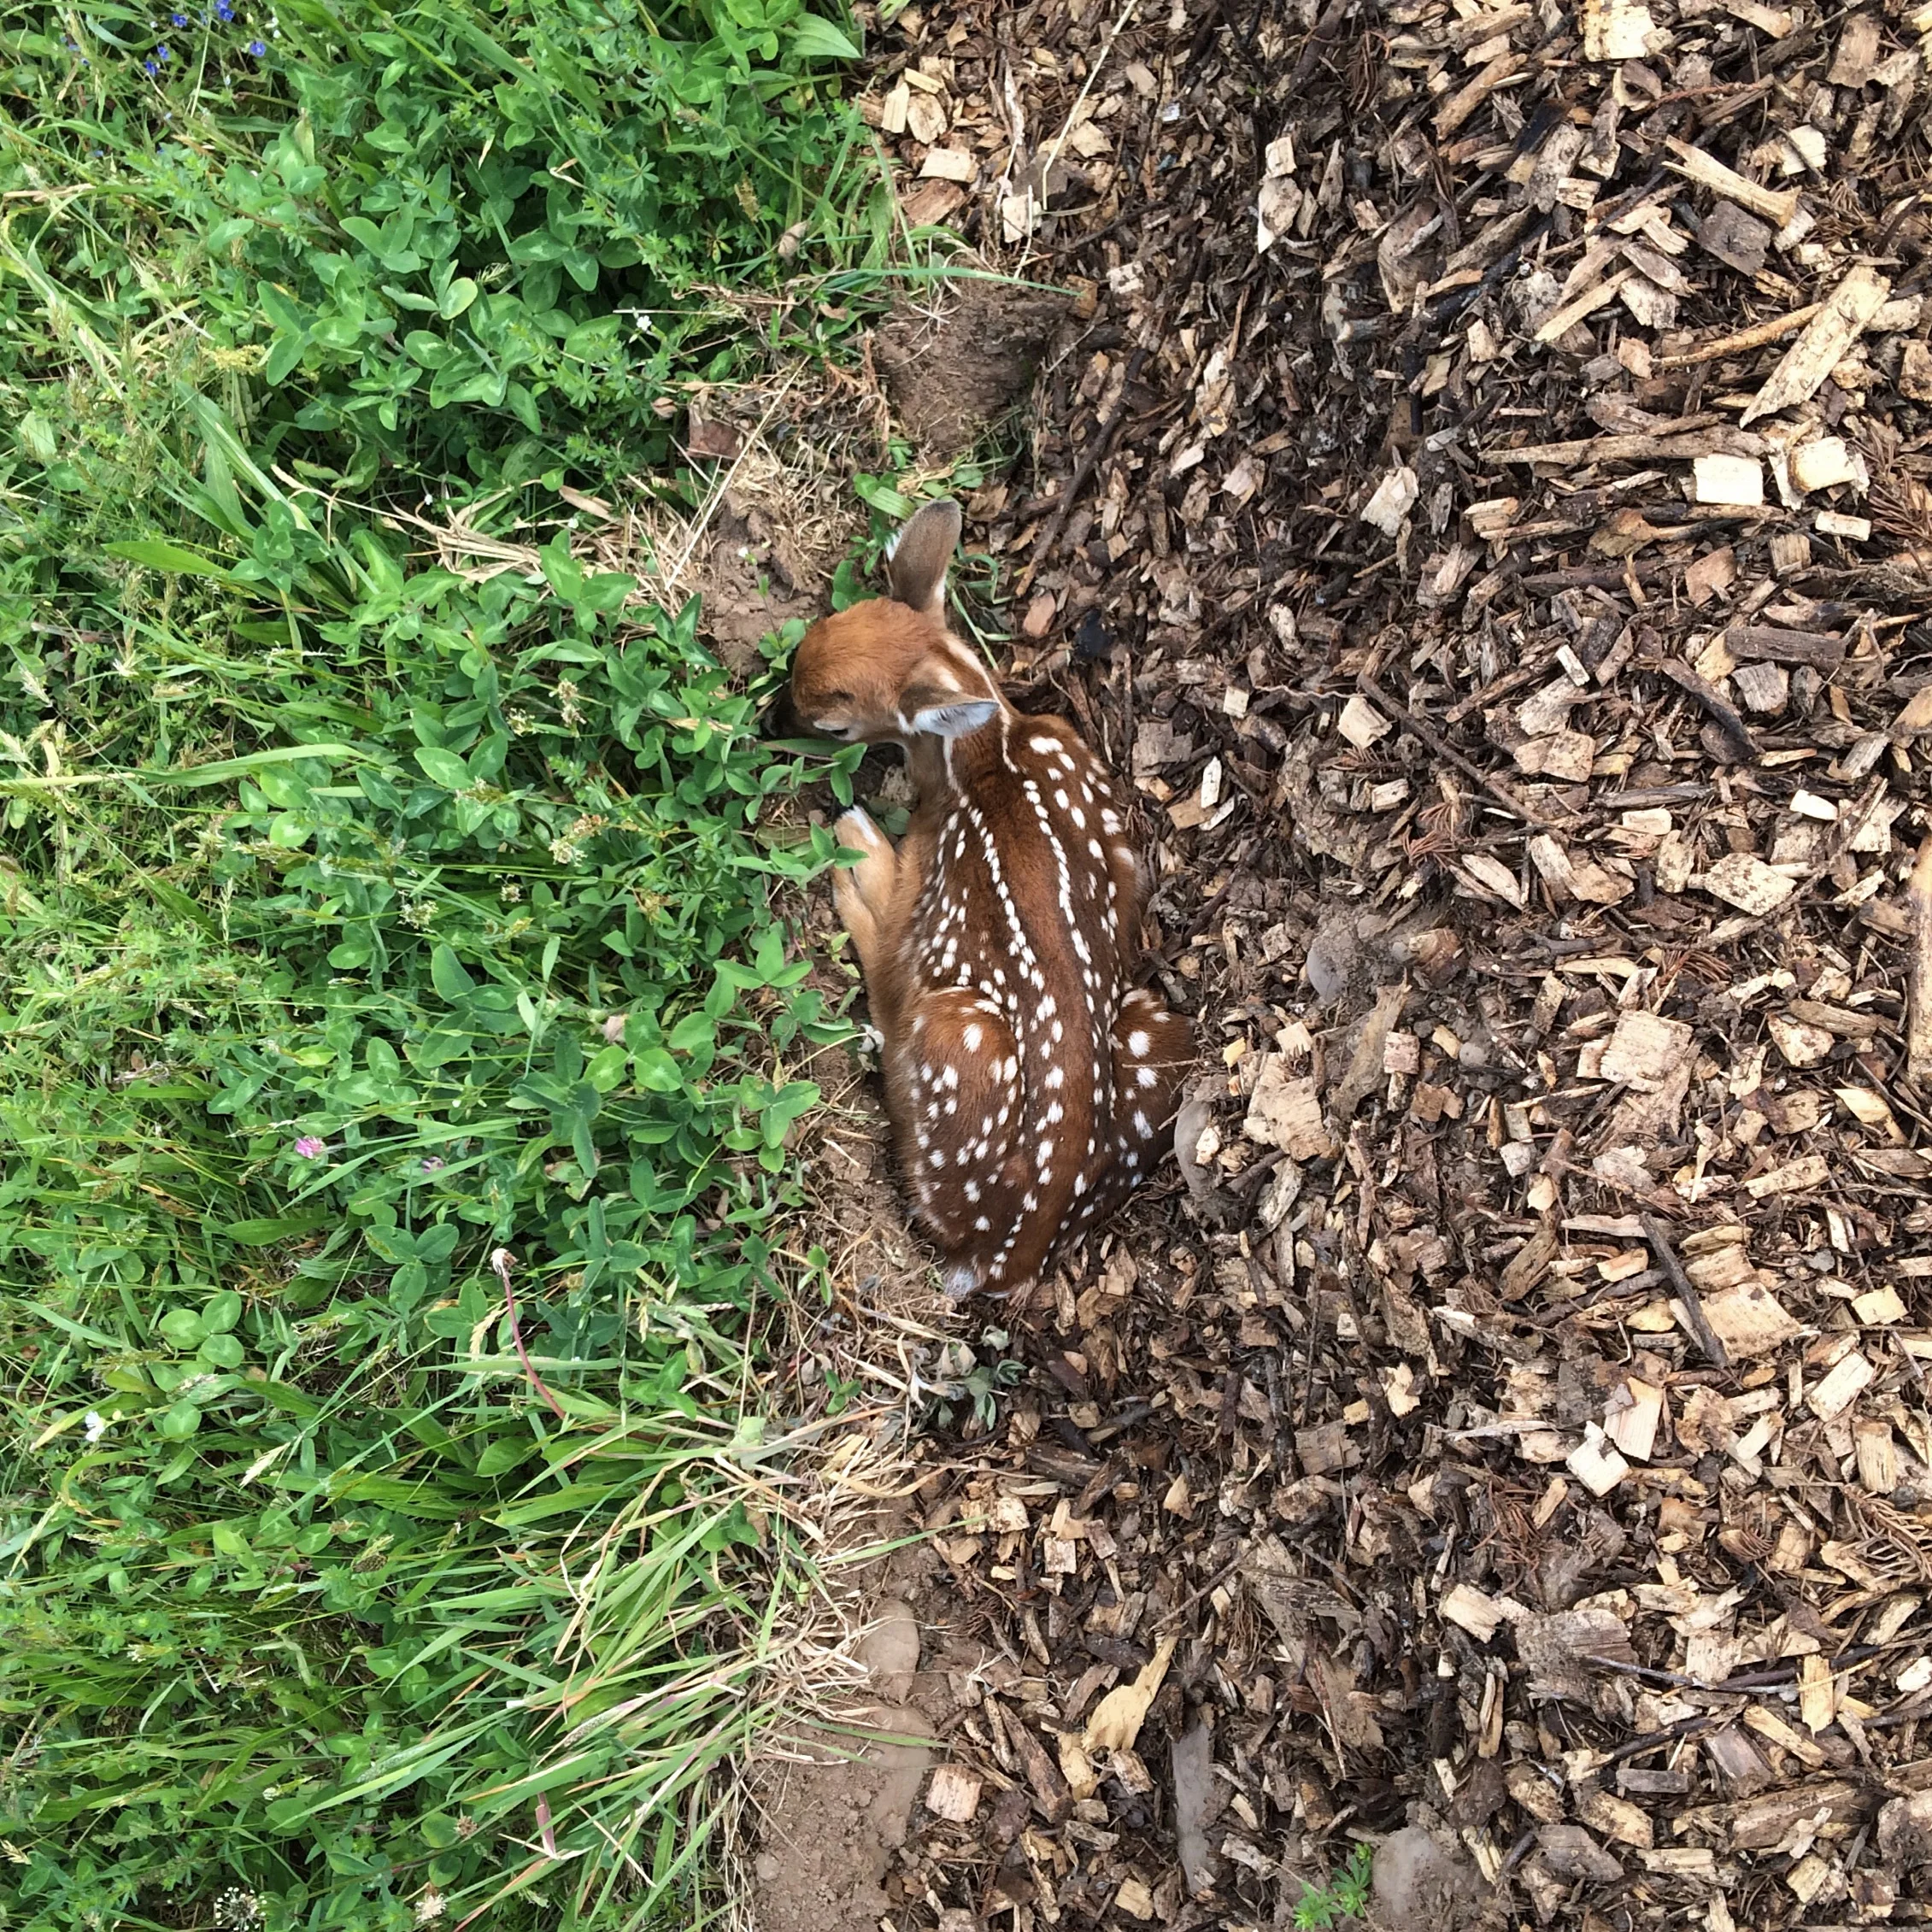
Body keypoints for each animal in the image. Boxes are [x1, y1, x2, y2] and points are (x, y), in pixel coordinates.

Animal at [777, 498, 1193, 1300]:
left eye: (833, 722)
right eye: (800, 651)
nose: (768, 723)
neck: (989, 750)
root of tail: (1002, 1258)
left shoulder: (925, 878)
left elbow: (886, 940)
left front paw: (851, 845)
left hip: (952, 1030)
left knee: (896, 1038)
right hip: (1157, 1028)